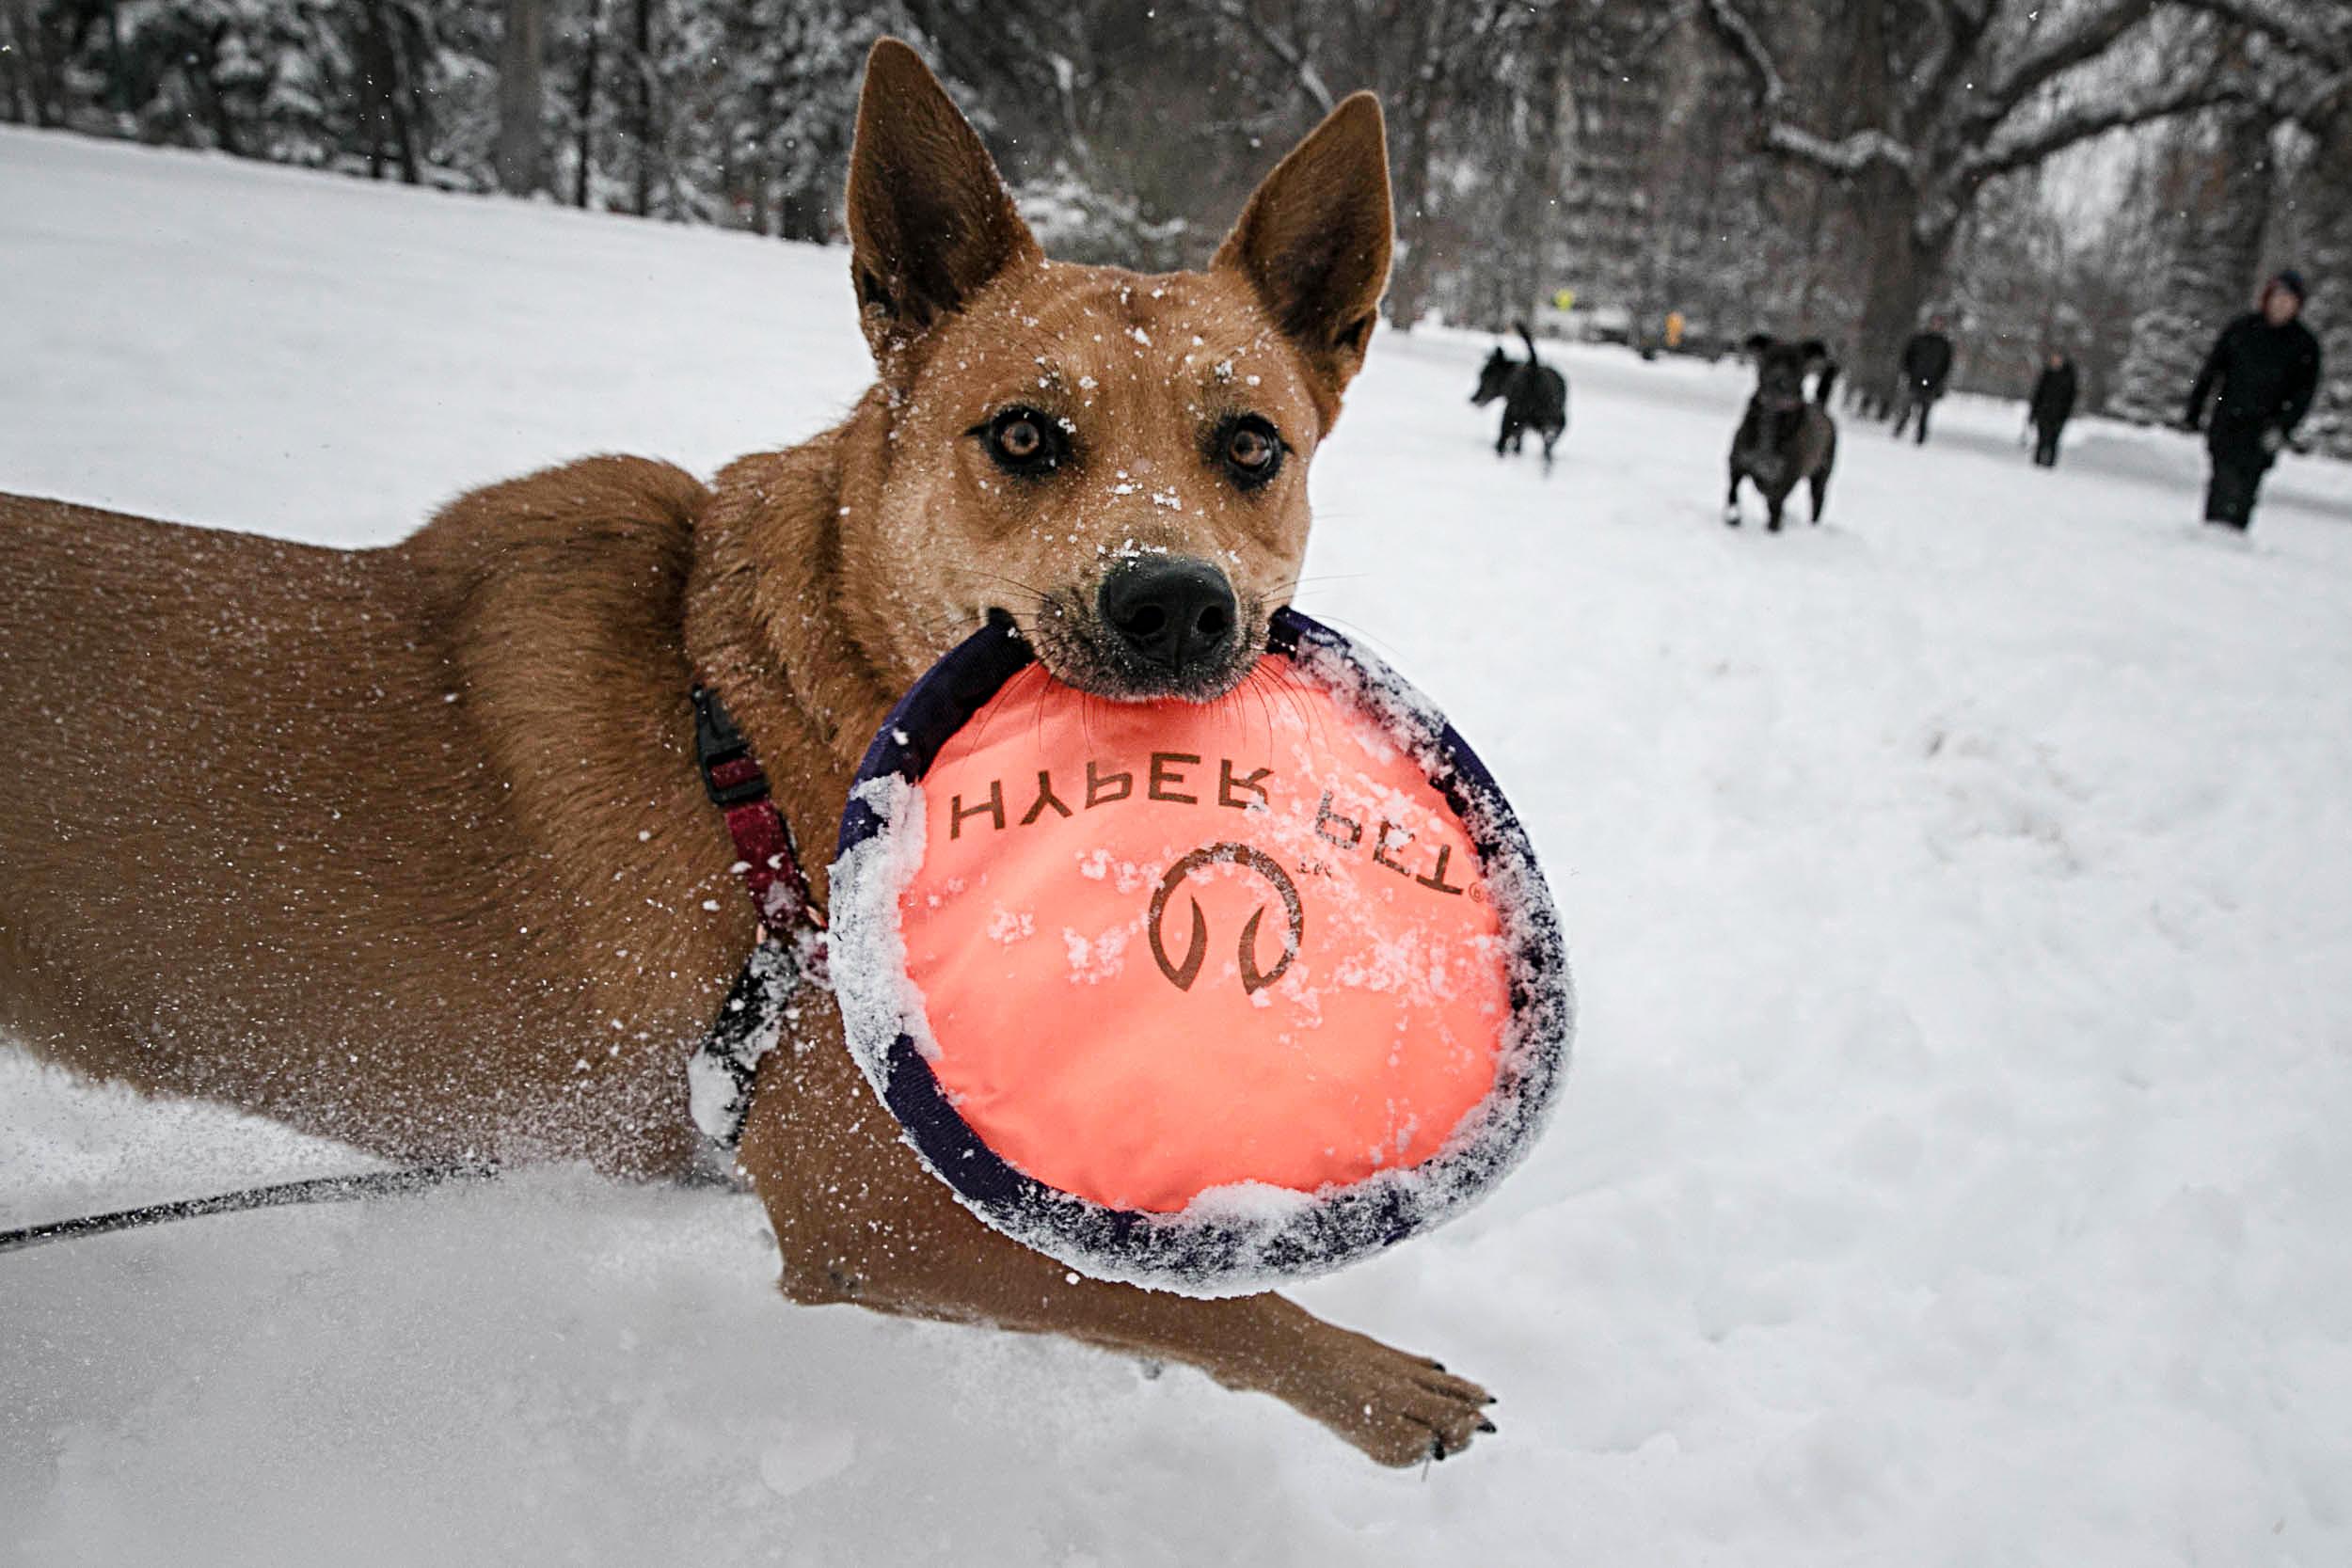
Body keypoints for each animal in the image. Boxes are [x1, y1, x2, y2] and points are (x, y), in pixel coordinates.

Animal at [0, 40, 1496, 1457]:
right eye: (1023, 433)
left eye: (1249, 445)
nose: (1176, 603)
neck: (780, 730)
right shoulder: (864, 1199)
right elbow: (1175, 1298)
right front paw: (1376, 1381)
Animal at [1477, 324, 1571, 472]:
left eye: (1483, 377)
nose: (1472, 398)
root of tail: (1535, 370)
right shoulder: (1524, 426)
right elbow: (1518, 443)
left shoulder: (1515, 420)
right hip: (1555, 425)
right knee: (1547, 451)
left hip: (1510, 415)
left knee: (1502, 441)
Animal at [1731, 333, 1835, 531]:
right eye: (1770, 359)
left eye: (1795, 364)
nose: (1780, 380)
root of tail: (1820, 405)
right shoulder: (1738, 463)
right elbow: (1732, 492)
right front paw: (1732, 518)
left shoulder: (1785, 478)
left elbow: (1775, 506)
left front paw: (1773, 529)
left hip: (1821, 477)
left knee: (1817, 504)